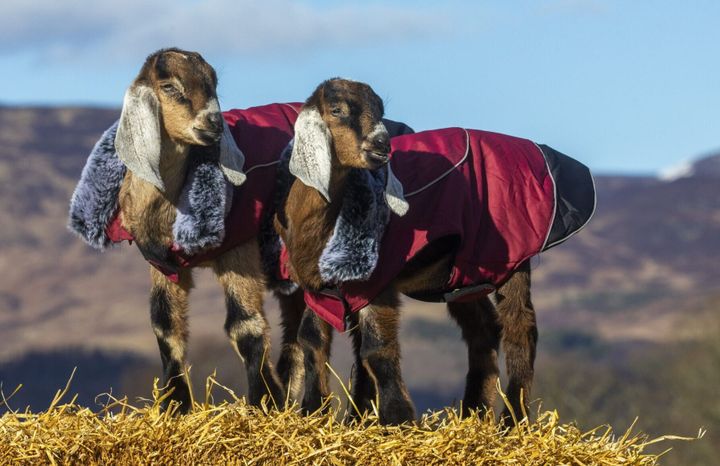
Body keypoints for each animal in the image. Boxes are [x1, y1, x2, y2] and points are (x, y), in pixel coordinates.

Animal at [69, 48, 307, 412]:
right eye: (169, 86)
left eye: (214, 83)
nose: (213, 124)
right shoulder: (163, 264)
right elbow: (165, 327)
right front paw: (175, 404)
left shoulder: (239, 249)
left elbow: (245, 325)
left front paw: (263, 401)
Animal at [274, 78, 594, 425]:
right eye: (337, 110)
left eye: (381, 111)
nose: (382, 145)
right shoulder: (319, 287)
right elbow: (312, 338)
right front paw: (316, 413)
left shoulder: (379, 280)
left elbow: (376, 348)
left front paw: (396, 418)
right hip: (464, 273)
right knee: (484, 329)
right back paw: (474, 414)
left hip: (513, 254)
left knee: (521, 329)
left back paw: (513, 422)